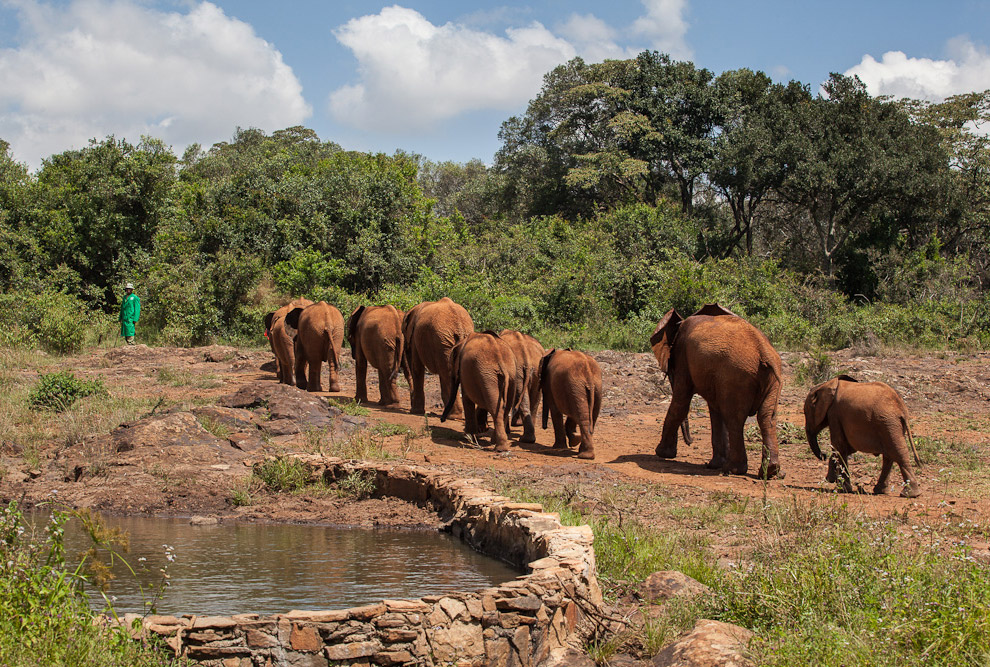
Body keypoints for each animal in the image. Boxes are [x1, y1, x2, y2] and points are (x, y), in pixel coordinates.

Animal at [652, 302, 784, 480]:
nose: (690, 442)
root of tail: (763, 351)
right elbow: (715, 410)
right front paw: (714, 464)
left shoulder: (683, 357)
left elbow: (681, 403)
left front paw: (662, 453)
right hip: (769, 381)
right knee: (767, 417)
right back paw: (771, 472)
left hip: (736, 375)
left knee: (735, 419)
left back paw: (733, 469)